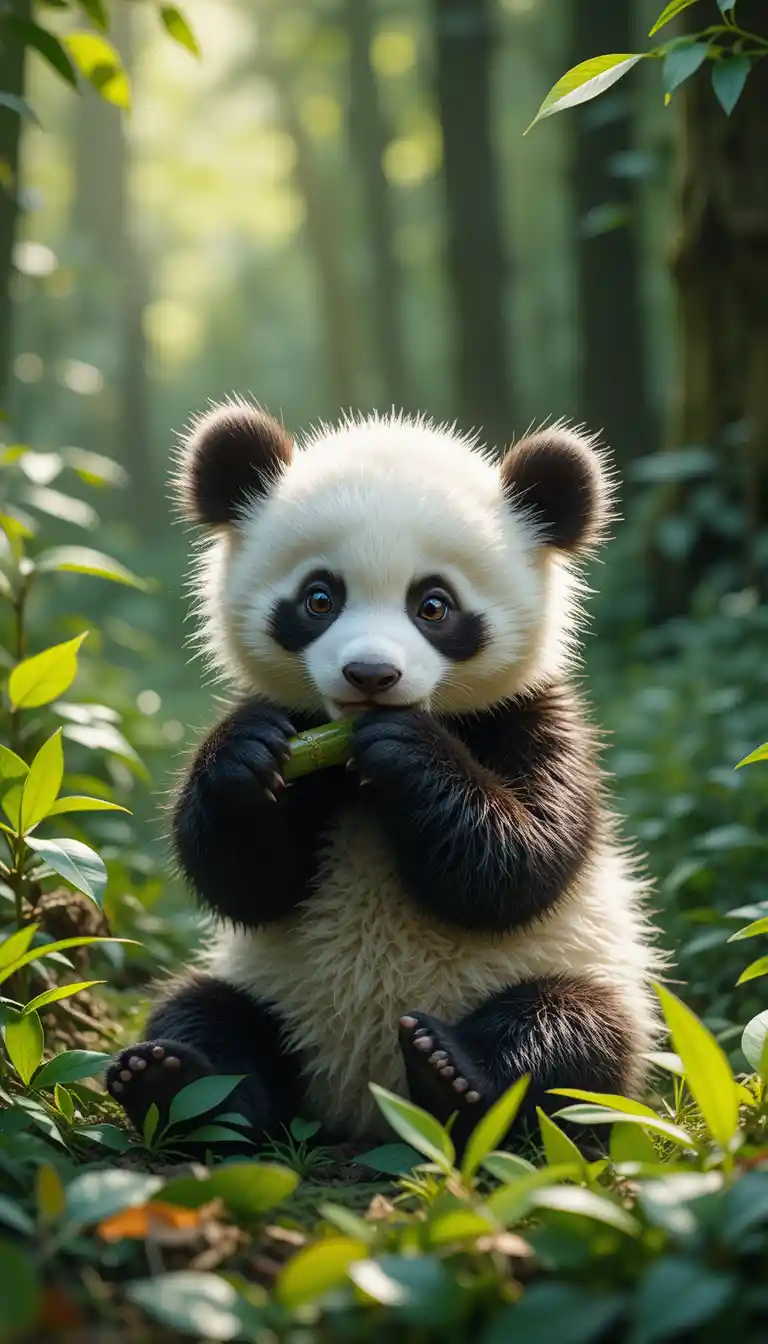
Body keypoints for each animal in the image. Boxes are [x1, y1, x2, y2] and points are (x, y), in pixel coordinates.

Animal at [107, 403, 661, 1156]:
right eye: (319, 598)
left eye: (434, 605)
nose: (371, 675)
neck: (352, 769)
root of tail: (363, 1103)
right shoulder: (298, 725)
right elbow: (247, 884)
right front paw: (242, 756)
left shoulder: (534, 718)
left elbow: (522, 866)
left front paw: (409, 752)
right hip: (269, 989)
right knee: (202, 1014)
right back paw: (178, 1086)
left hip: (574, 970)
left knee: (574, 1040)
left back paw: (456, 1075)